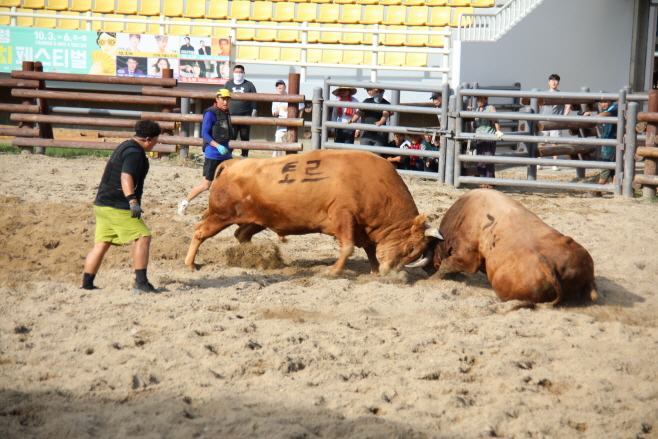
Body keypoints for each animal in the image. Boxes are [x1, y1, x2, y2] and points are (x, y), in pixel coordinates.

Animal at [183, 151, 440, 276]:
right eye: (412, 248)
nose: (390, 273)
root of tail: (231, 164)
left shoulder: (363, 227)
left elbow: (369, 248)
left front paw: (376, 271)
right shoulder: (343, 215)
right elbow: (348, 247)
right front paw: (333, 271)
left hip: (259, 218)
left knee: (242, 235)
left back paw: (258, 260)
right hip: (221, 215)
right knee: (200, 232)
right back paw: (190, 264)